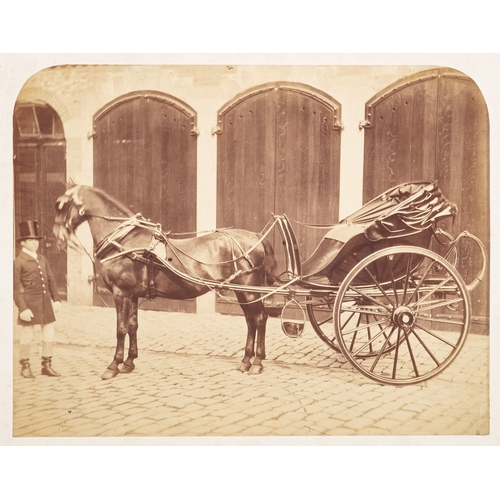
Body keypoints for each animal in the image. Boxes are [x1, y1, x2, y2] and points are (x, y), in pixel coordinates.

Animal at [53, 184, 280, 378]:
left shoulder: (121, 293)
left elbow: (121, 328)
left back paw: (257, 362)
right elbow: (133, 325)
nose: (57, 237)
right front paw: (129, 362)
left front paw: (113, 365)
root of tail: (257, 237)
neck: (124, 240)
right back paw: (246, 361)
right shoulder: (132, 295)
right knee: (250, 321)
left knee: (259, 319)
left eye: (60, 206)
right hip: (242, 291)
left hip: (249, 289)